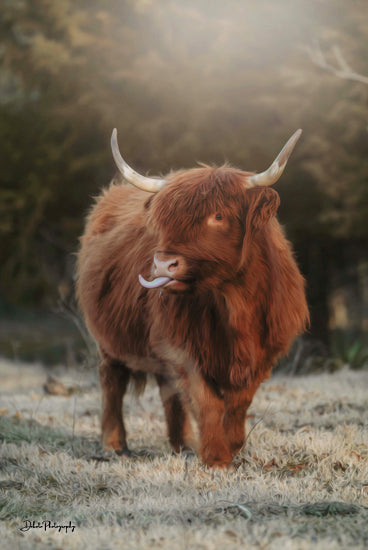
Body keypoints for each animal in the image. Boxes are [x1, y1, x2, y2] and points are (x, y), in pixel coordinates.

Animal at [76, 127, 310, 468]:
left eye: (219, 215)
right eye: (164, 220)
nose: (163, 264)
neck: (233, 303)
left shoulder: (265, 352)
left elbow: (239, 402)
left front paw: (234, 447)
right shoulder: (183, 349)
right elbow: (207, 401)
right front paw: (216, 458)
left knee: (168, 391)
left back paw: (183, 444)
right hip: (108, 339)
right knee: (112, 382)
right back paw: (114, 444)